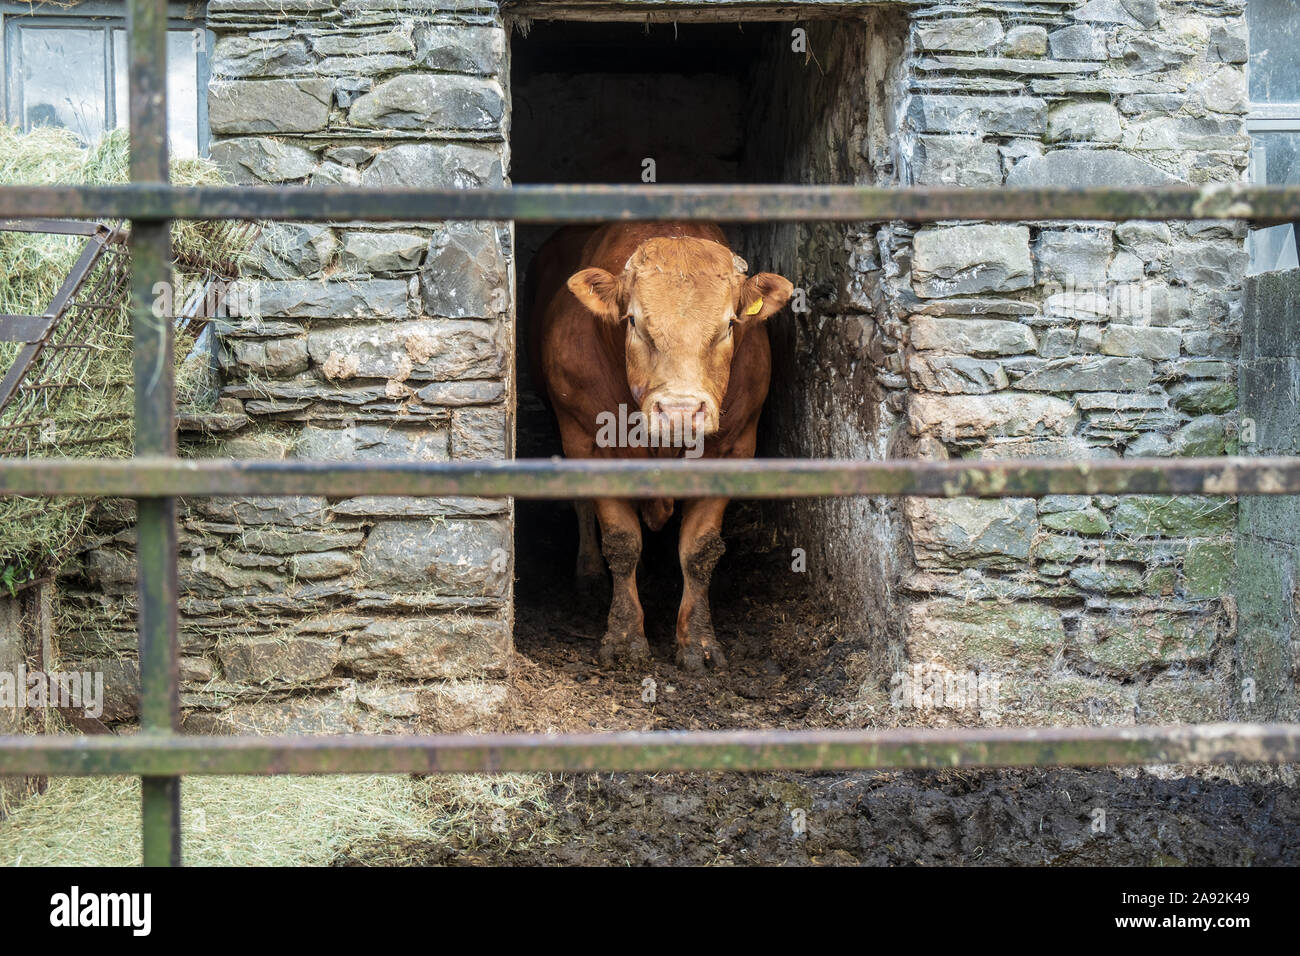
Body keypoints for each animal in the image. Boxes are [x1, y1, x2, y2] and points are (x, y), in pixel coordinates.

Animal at [525, 222, 790, 671]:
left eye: (730, 325)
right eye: (633, 321)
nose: (680, 412)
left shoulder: (734, 446)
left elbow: (700, 550)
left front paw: (698, 641)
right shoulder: (587, 441)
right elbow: (621, 542)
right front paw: (624, 636)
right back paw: (589, 571)